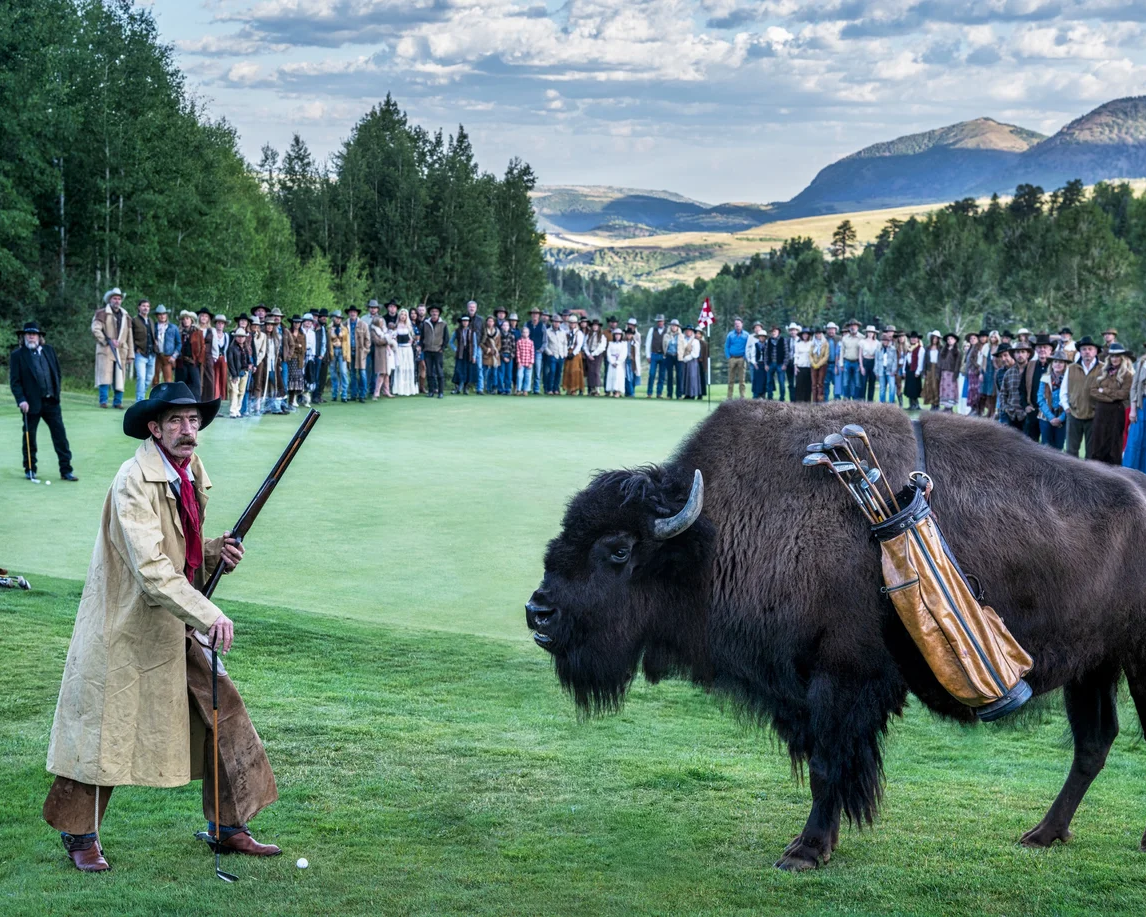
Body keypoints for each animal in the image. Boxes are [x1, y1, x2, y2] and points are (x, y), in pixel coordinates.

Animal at [526, 401, 1146, 871]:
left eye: (618, 550)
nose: (538, 613)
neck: (712, 536)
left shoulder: (840, 683)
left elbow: (829, 766)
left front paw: (804, 852)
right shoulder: (806, 694)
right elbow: (828, 767)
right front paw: (818, 843)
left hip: (1133, 663)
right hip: (1092, 669)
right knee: (1093, 743)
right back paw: (1042, 834)